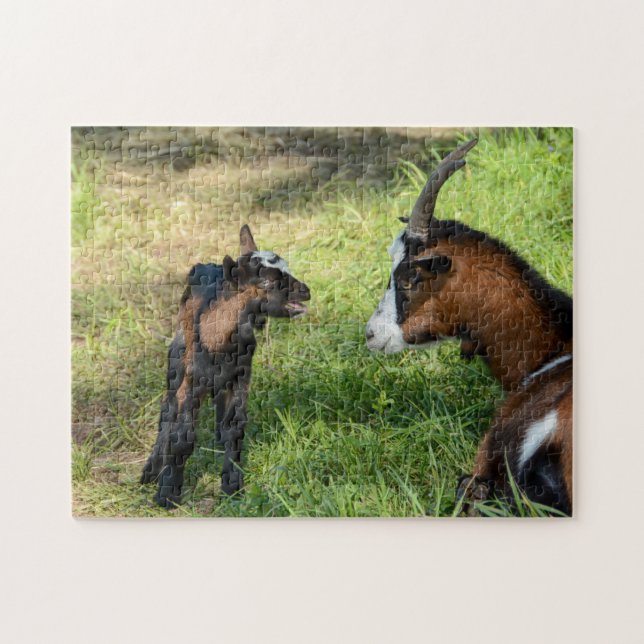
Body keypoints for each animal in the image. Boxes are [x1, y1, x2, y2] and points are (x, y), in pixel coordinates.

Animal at [141, 225, 310, 508]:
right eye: (266, 281)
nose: (306, 291)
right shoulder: (191, 382)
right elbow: (182, 436)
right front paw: (167, 494)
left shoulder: (240, 379)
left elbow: (235, 429)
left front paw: (232, 487)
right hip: (176, 361)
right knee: (167, 411)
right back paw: (151, 470)